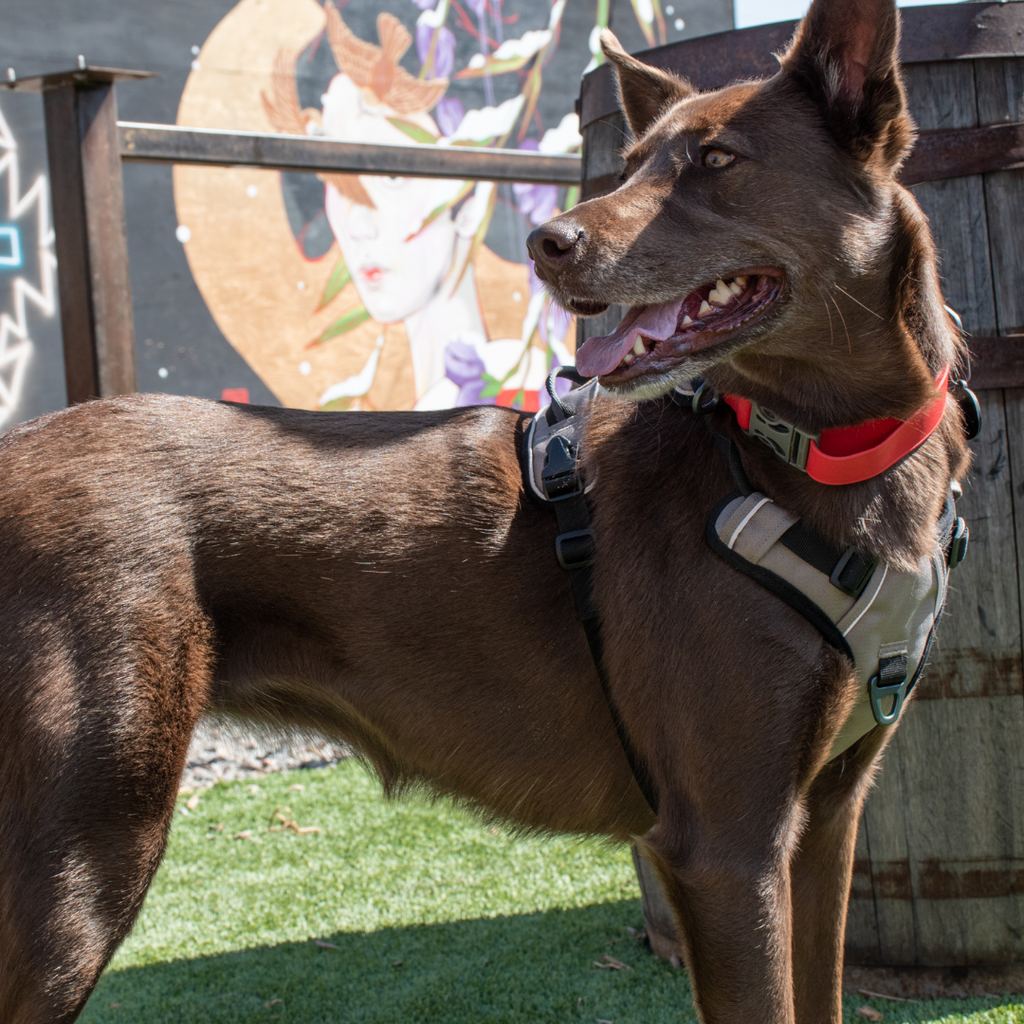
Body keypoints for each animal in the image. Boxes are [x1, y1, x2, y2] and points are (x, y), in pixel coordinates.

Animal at [0, 0, 966, 1019]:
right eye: (629, 165)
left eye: (716, 157)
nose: (548, 243)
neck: (802, 452)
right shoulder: (728, 850)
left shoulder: (825, 826)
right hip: (84, 846)